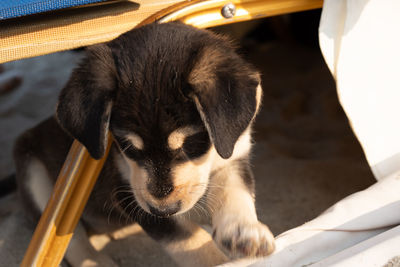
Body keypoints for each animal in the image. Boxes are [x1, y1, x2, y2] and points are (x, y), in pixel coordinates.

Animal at [13, 22, 276, 266]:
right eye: (127, 146)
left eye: (190, 144)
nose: (163, 210)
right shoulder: (126, 191)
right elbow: (188, 240)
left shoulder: (233, 157)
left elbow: (235, 193)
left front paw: (244, 234)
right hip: (34, 176)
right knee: (70, 240)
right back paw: (95, 261)